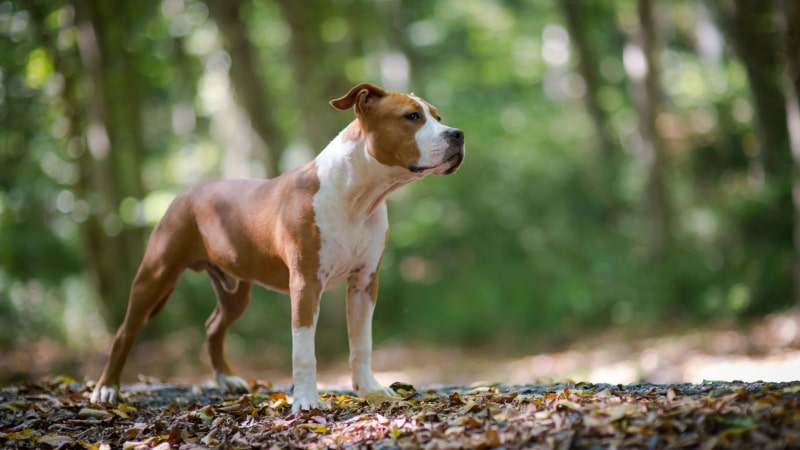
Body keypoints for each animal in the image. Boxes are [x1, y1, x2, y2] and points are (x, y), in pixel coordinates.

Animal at [90, 81, 466, 412]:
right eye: (412, 117)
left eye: (438, 116)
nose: (458, 134)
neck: (358, 196)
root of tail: (186, 194)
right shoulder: (306, 283)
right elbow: (304, 350)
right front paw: (307, 400)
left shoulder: (364, 282)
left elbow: (362, 343)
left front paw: (370, 390)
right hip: (156, 274)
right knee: (125, 331)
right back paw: (107, 389)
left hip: (236, 291)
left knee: (213, 326)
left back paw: (227, 379)